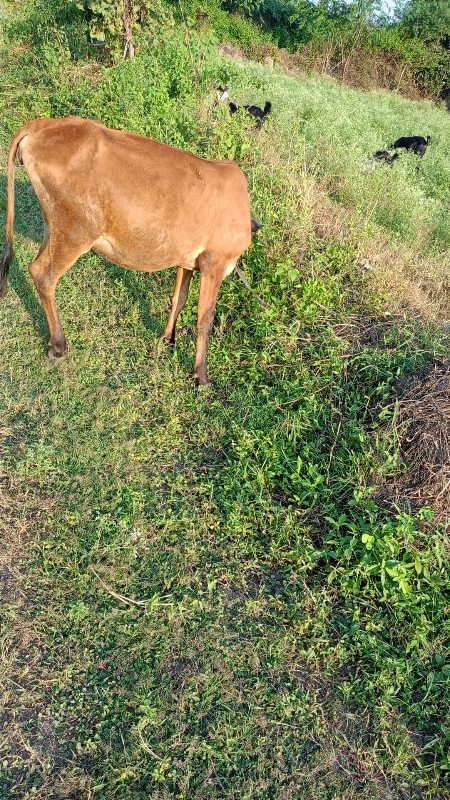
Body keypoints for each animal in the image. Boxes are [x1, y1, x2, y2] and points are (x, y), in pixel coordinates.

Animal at [0, 115, 260, 384]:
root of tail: (46, 124)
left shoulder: (186, 261)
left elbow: (178, 298)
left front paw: (168, 339)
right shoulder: (214, 263)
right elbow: (205, 318)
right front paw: (202, 376)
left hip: (53, 226)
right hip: (76, 232)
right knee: (43, 274)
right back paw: (59, 346)